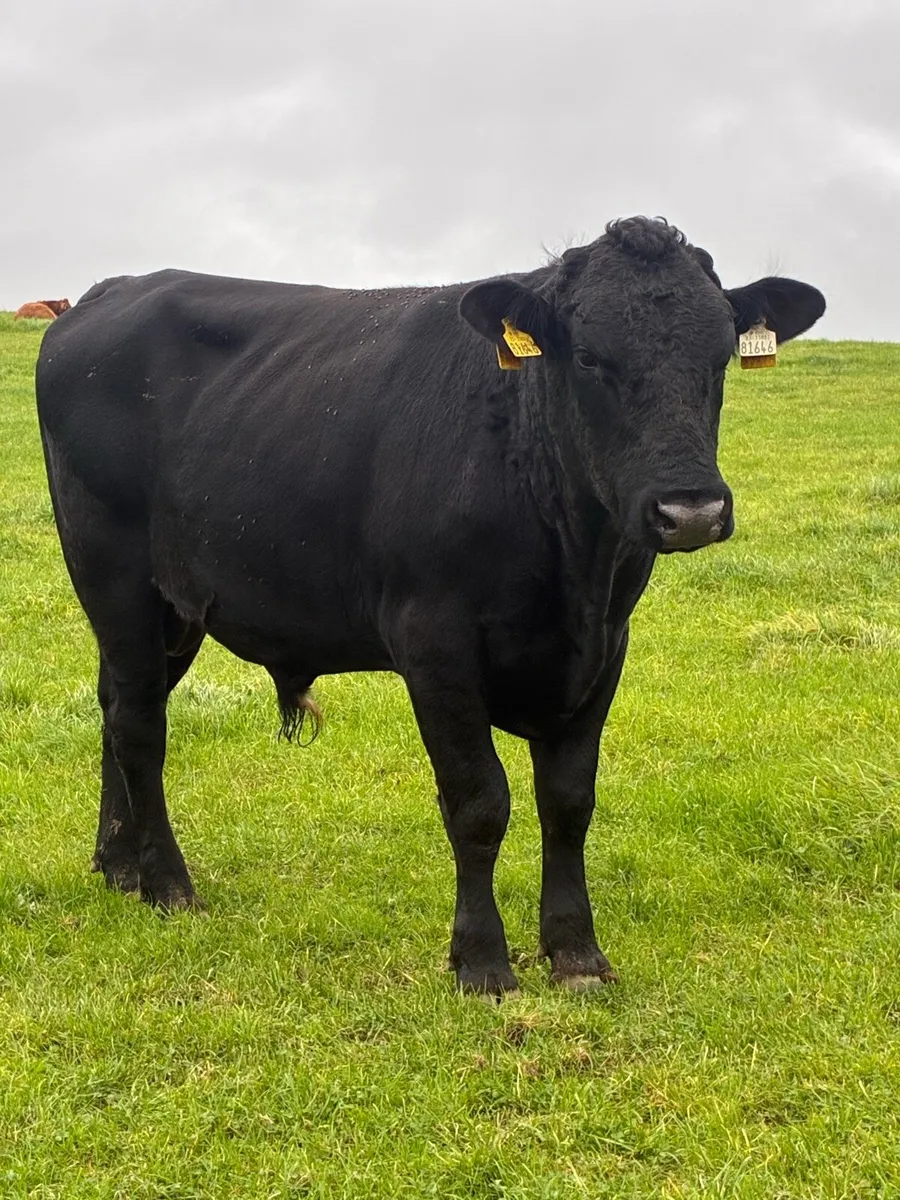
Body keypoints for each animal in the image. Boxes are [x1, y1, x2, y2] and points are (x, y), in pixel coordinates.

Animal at [35, 217, 825, 995]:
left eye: (719, 359)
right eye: (589, 358)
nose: (691, 511)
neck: (573, 564)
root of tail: (111, 291)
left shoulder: (605, 645)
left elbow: (569, 801)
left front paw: (575, 953)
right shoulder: (435, 643)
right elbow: (479, 802)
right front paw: (482, 960)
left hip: (174, 607)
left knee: (115, 707)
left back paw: (119, 865)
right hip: (113, 574)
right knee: (140, 726)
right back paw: (169, 885)